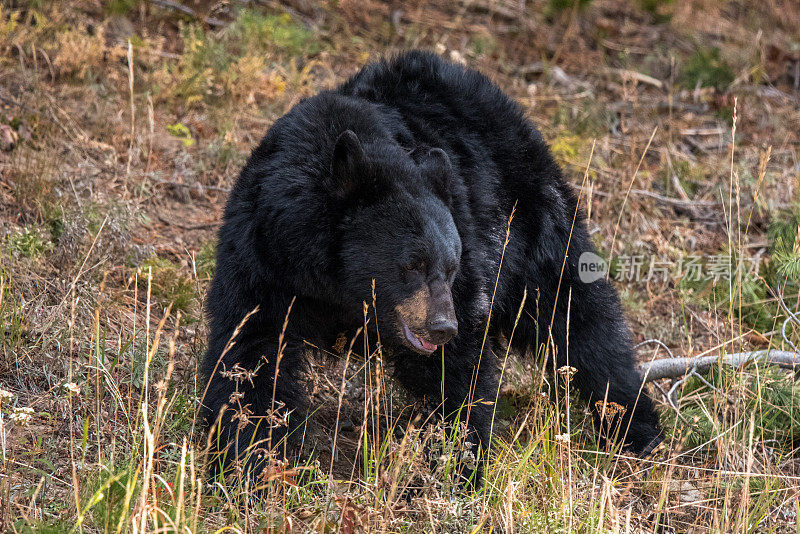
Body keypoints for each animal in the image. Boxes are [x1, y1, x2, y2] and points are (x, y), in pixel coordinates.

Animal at [202, 52, 664, 488]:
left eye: (451, 265)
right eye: (411, 264)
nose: (442, 327)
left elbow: (456, 373)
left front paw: (457, 465)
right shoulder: (263, 261)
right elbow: (250, 356)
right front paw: (243, 466)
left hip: (532, 222)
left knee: (579, 317)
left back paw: (636, 429)